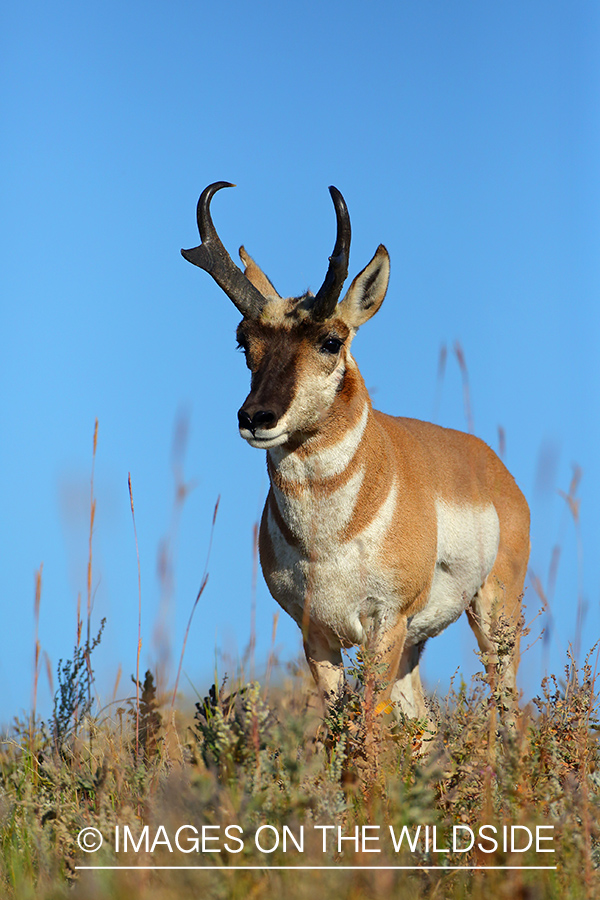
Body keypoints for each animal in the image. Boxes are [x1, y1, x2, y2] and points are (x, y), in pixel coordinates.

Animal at [183, 183, 528, 724]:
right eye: (243, 342)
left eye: (331, 340)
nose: (256, 417)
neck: (326, 540)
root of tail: (489, 463)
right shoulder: (316, 633)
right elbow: (336, 728)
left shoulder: (384, 622)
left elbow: (365, 727)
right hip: (415, 645)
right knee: (422, 724)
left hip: (494, 614)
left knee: (509, 709)